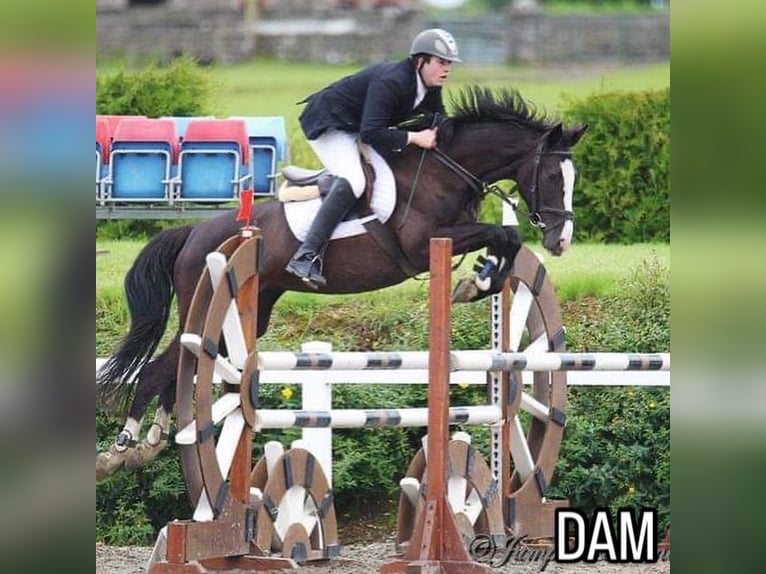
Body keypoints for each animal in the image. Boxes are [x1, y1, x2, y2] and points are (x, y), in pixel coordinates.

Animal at [96, 86, 588, 482]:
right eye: (551, 177)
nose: (561, 240)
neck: (446, 170)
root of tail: (194, 233)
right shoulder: (422, 242)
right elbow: (503, 233)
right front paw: (478, 281)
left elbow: (506, 239)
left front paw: (481, 281)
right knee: (162, 368)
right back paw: (121, 450)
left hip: (254, 308)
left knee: (177, 366)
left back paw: (152, 439)